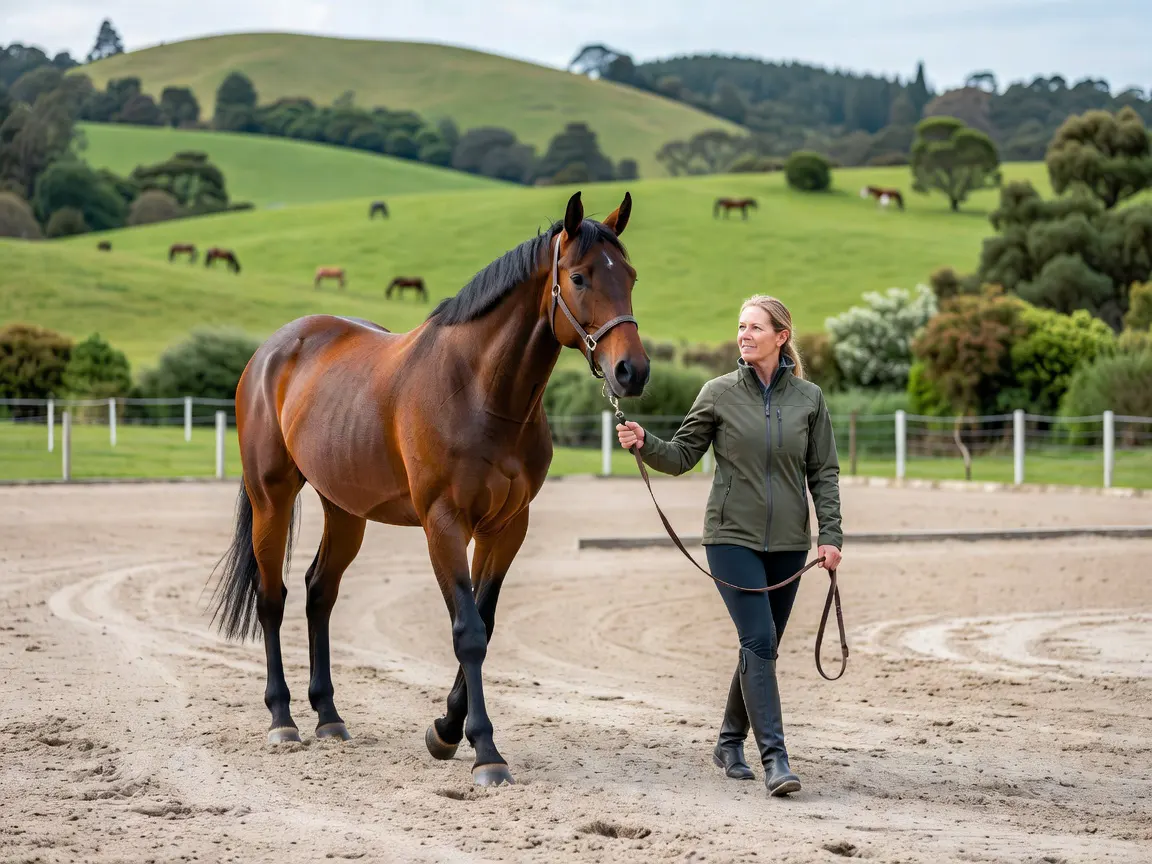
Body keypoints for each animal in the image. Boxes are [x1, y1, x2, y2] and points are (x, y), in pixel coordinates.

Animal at [207, 191, 647, 787]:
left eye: (629, 275)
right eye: (578, 278)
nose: (632, 371)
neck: (478, 390)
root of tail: (271, 353)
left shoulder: (506, 528)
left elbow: (484, 621)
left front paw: (445, 731)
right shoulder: (444, 524)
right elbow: (467, 631)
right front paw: (485, 751)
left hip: (345, 510)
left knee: (319, 591)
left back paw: (329, 716)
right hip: (270, 498)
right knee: (271, 598)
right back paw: (283, 719)